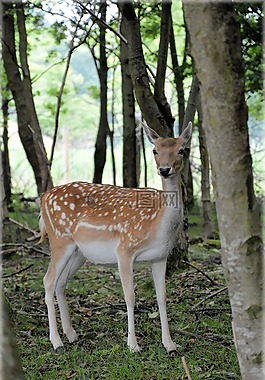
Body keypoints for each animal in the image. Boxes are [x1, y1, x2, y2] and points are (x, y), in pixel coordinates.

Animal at [38, 121, 192, 354]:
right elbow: (130, 296)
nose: (164, 170)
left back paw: (71, 334)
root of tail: (42, 198)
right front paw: (133, 345)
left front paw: (170, 344)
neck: (156, 225)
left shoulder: (160, 256)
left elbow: (162, 297)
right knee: (48, 281)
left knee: (60, 282)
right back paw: (56, 341)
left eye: (182, 150)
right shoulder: (125, 249)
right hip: (59, 239)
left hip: (78, 252)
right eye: (155, 150)